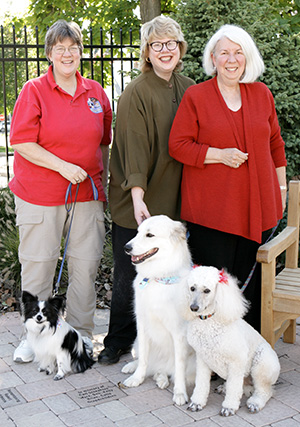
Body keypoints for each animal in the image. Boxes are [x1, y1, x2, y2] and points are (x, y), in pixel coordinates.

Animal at [121, 216, 195, 406]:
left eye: (150, 235)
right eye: (138, 232)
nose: (126, 248)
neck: (158, 278)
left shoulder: (178, 334)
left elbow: (179, 368)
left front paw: (180, 393)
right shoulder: (142, 325)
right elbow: (144, 358)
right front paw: (137, 378)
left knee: (169, 370)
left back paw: (162, 378)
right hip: (137, 341)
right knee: (149, 362)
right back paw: (133, 368)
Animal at [185, 268, 282, 418]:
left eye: (207, 290)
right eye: (192, 288)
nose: (193, 307)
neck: (209, 321)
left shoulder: (237, 361)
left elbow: (234, 388)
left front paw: (229, 407)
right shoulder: (202, 359)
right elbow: (201, 383)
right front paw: (197, 403)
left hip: (262, 362)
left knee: (265, 390)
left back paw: (255, 403)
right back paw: (224, 387)